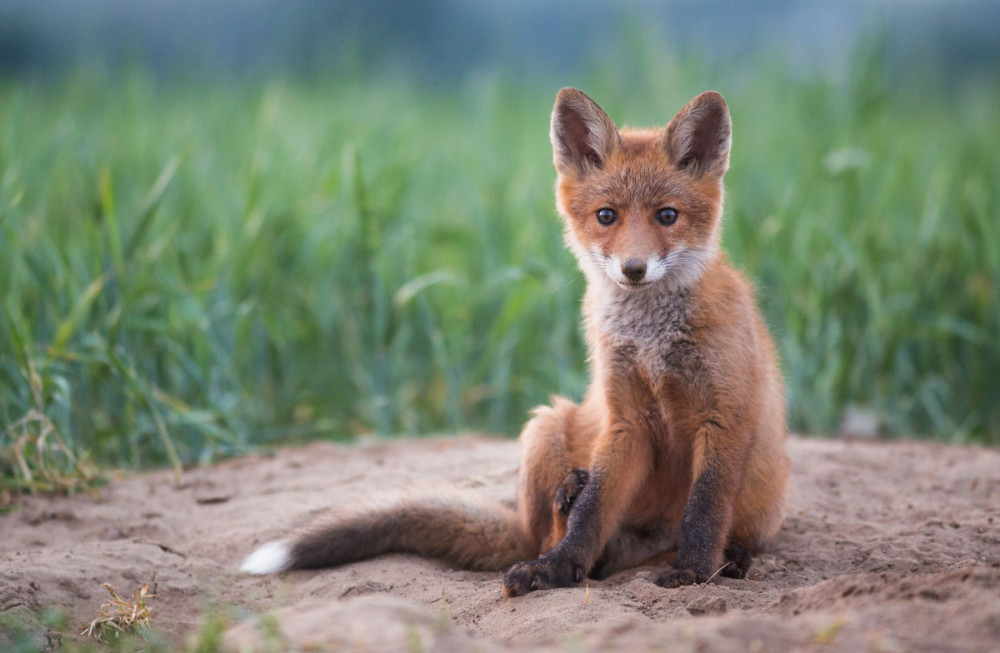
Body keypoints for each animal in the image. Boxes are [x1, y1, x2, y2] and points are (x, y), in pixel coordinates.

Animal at [240, 88, 788, 596]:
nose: (633, 269)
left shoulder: (724, 416)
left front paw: (695, 570)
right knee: (559, 536)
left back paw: (731, 558)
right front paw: (558, 567)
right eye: (606, 216)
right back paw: (563, 508)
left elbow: (704, 509)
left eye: (667, 216)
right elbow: (593, 514)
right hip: (544, 426)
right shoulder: (626, 419)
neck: (652, 340)